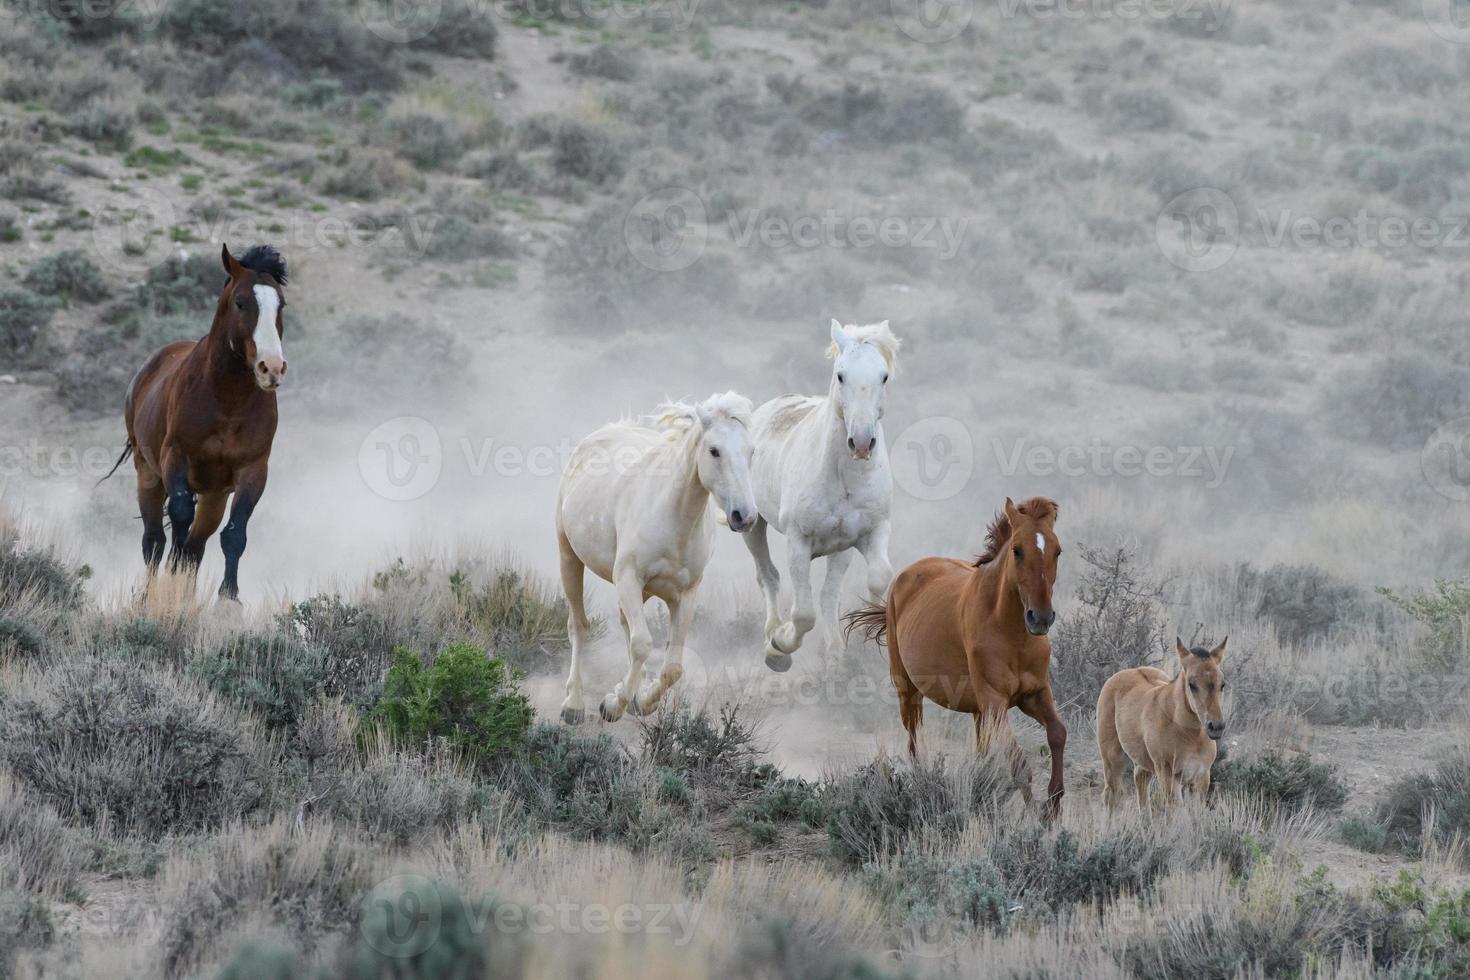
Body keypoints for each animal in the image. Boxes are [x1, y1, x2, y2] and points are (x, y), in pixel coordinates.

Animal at [98, 240, 289, 602]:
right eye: (241, 302)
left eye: (281, 305)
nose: (271, 367)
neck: (227, 402)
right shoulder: (176, 459)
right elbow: (178, 520)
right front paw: (167, 594)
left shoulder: (253, 470)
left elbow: (233, 535)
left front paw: (228, 600)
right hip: (148, 475)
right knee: (155, 539)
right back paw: (148, 596)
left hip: (214, 496)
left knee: (195, 546)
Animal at [552, 387, 758, 719]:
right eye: (714, 451)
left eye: (752, 451)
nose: (745, 516)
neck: (673, 517)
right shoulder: (628, 578)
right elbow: (642, 644)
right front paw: (613, 705)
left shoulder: (685, 594)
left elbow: (673, 667)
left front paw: (641, 699)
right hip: (568, 557)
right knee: (578, 626)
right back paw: (573, 704)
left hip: (645, 590)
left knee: (625, 623)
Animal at [746, 321, 893, 675]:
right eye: (840, 375)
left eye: (884, 376)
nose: (862, 443)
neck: (844, 477)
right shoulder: (798, 541)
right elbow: (803, 615)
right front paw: (780, 645)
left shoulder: (874, 530)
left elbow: (879, 577)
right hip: (751, 525)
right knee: (768, 576)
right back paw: (774, 642)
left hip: (840, 549)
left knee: (828, 594)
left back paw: (837, 654)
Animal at [852, 499, 1070, 822]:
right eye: (1017, 549)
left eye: (1057, 550)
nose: (1040, 618)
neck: (1011, 631)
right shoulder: (995, 701)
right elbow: (1018, 761)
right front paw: (1035, 816)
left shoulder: (1035, 694)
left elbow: (1057, 734)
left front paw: (1053, 805)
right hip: (908, 691)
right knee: (914, 740)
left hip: (977, 710)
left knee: (979, 748)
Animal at [1105, 637, 1228, 811]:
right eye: (1192, 684)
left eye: (1222, 684)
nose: (1216, 726)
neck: (1190, 735)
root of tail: (1130, 671)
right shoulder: (1168, 776)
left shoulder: (1201, 778)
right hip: (1112, 760)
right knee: (1112, 795)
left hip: (1143, 763)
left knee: (1141, 786)